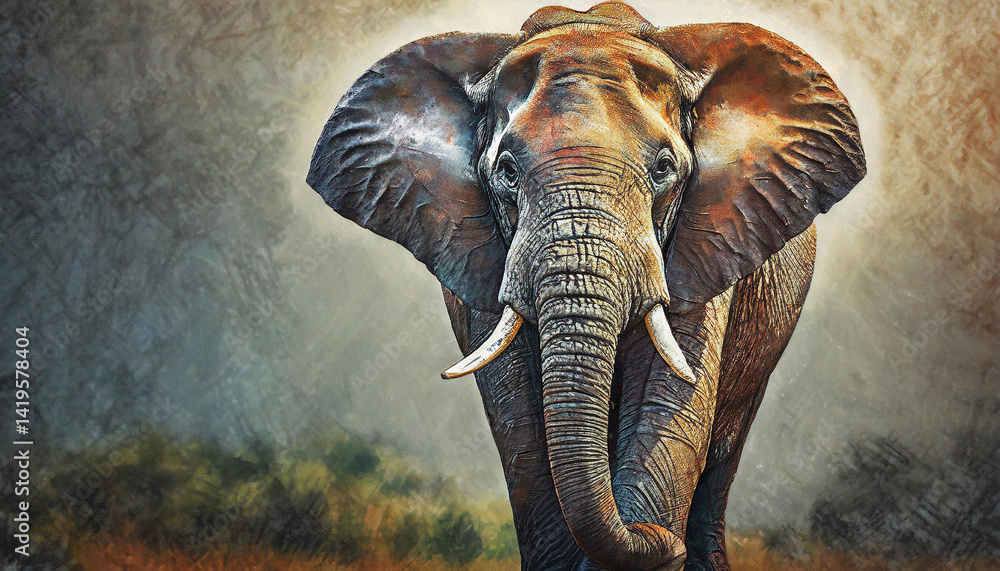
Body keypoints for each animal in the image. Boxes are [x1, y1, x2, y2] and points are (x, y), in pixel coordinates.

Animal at [306, 2, 865, 569]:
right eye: (506, 171)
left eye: (664, 169)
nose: (662, 543)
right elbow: (519, 422)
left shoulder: (707, 240)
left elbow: (666, 401)